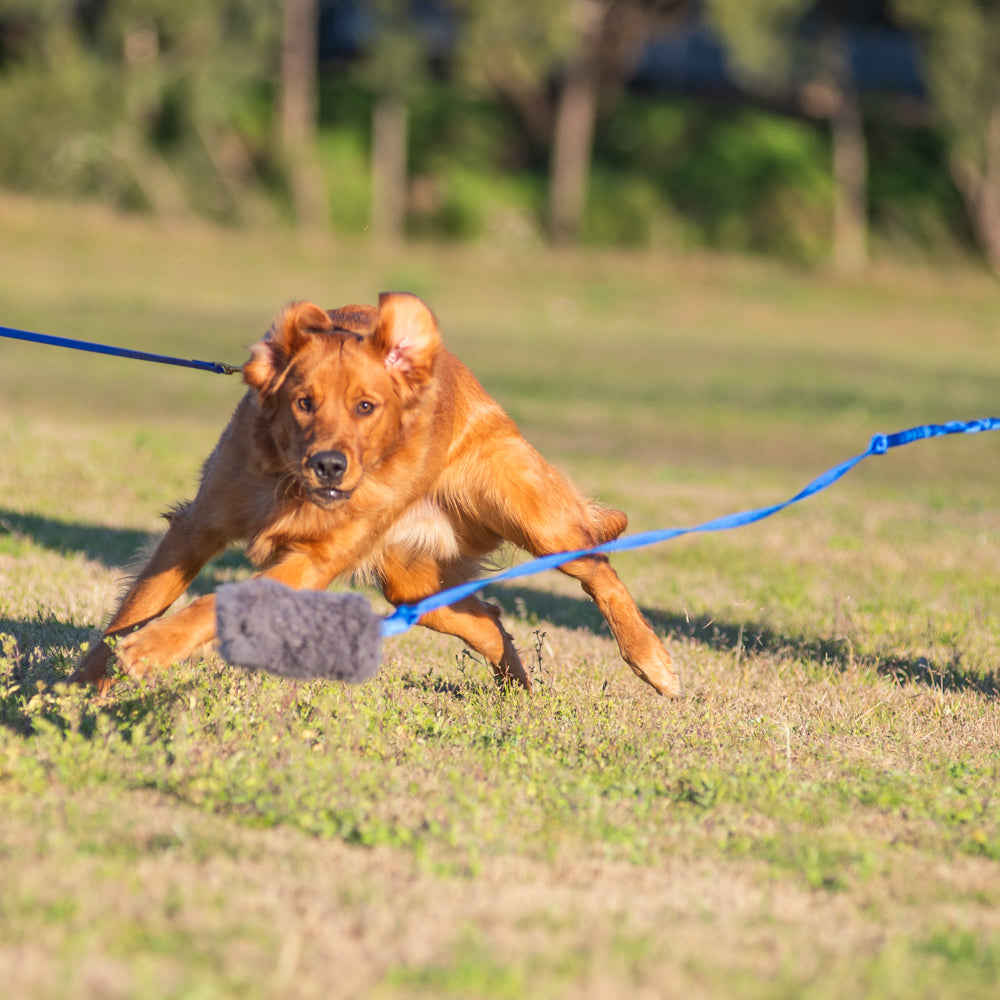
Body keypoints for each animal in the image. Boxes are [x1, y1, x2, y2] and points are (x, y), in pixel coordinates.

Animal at [72, 292, 680, 696]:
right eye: (304, 402)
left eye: (366, 406)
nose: (329, 466)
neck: (287, 484)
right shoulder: (198, 527)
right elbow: (136, 608)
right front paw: (83, 685)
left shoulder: (312, 561)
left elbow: (205, 605)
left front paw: (148, 652)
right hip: (411, 583)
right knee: (487, 620)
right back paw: (517, 687)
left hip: (530, 516)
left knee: (599, 567)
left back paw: (654, 663)